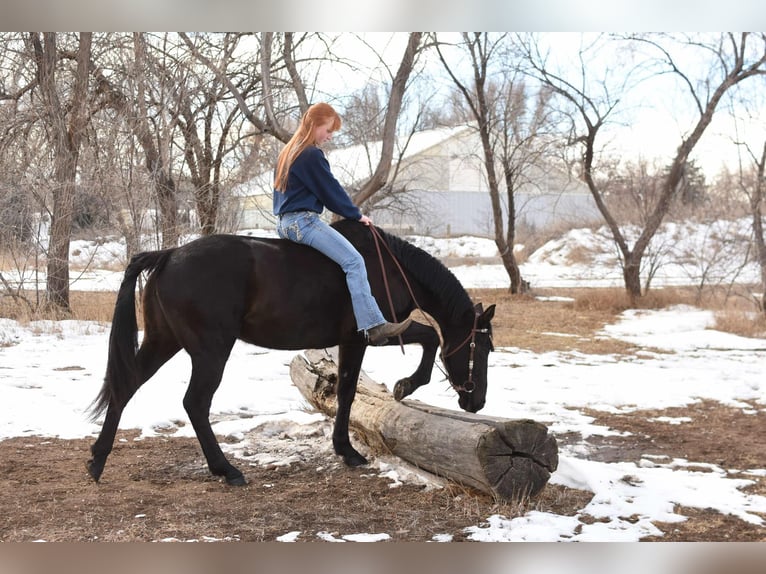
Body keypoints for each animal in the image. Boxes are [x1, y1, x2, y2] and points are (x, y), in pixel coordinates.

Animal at [87, 220, 498, 486]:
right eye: (484, 347)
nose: (477, 400)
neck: (389, 269)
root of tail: (169, 254)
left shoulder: (352, 342)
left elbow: (348, 390)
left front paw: (346, 446)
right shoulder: (368, 337)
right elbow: (425, 341)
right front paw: (404, 387)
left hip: (163, 341)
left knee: (125, 388)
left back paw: (97, 460)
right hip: (210, 351)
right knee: (195, 404)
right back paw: (227, 469)